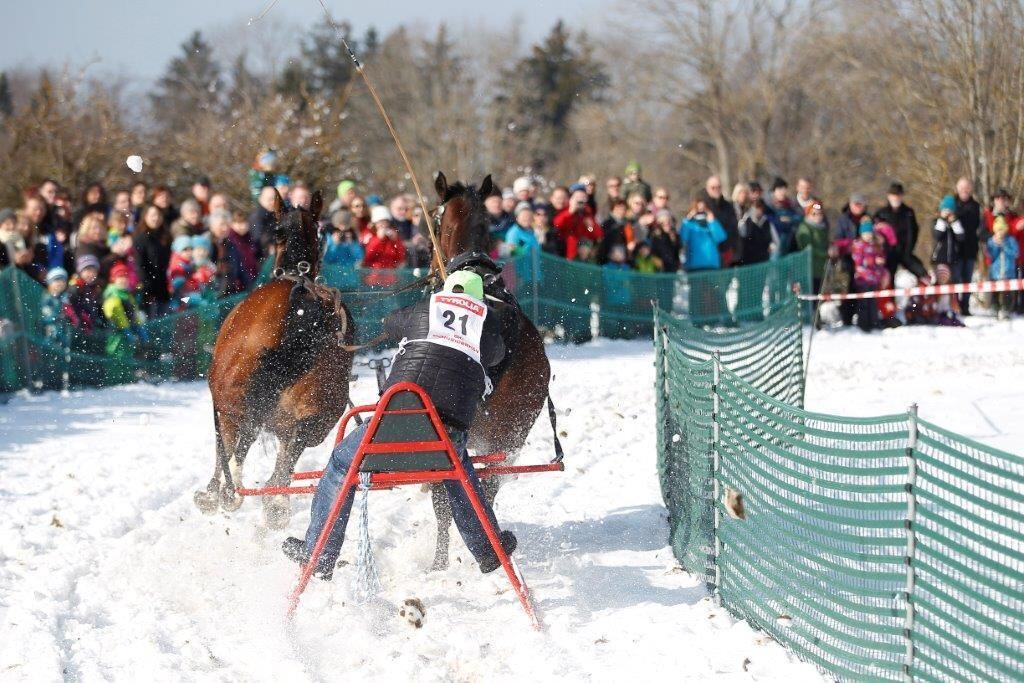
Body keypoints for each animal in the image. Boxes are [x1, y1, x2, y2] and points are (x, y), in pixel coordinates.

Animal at [193, 192, 358, 528]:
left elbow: (230, 448)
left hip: (233, 403)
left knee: (232, 446)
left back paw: (224, 493)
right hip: (317, 415)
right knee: (284, 461)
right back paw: (274, 504)